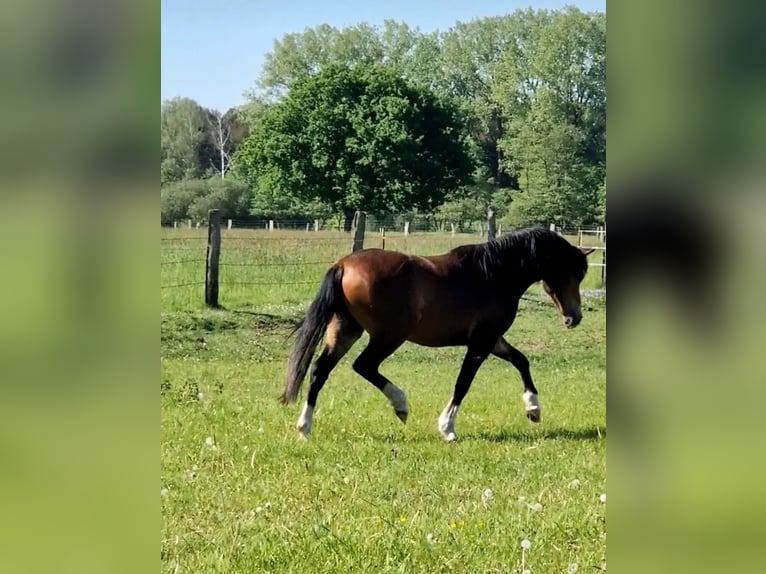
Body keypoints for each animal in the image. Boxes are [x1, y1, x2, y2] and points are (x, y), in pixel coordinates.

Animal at [280, 227, 592, 444]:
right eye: (573, 273)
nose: (574, 317)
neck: (494, 274)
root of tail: (343, 265)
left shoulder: (492, 340)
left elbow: (521, 361)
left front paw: (533, 408)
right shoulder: (481, 343)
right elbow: (463, 383)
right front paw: (447, 428)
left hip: (346, 331)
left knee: (320, 370)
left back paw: (304, 428)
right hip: (389, 336)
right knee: (364, 365)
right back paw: (401, 405)